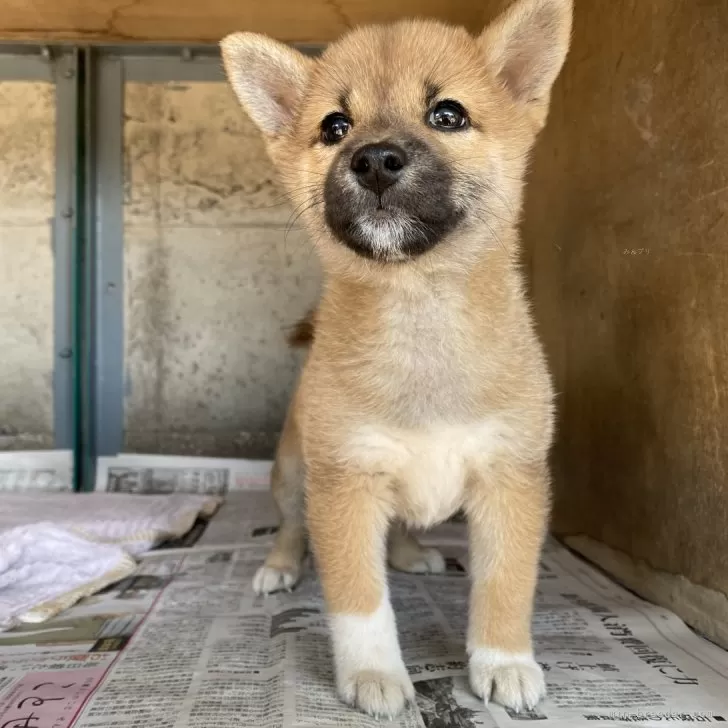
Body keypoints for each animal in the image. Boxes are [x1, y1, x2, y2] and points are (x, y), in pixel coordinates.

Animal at [219, 0, 572, 716]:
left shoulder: (511, 478)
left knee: (406, 524)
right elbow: (360, 600)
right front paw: (373, 675)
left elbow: (504, 584)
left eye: (448, 115)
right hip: (293, 473)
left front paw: (503, 662)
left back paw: (412, 554)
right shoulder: (345, 484)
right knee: (291, 526)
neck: (419, 313)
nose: (375, 160)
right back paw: (279, 567)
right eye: (334, 126)